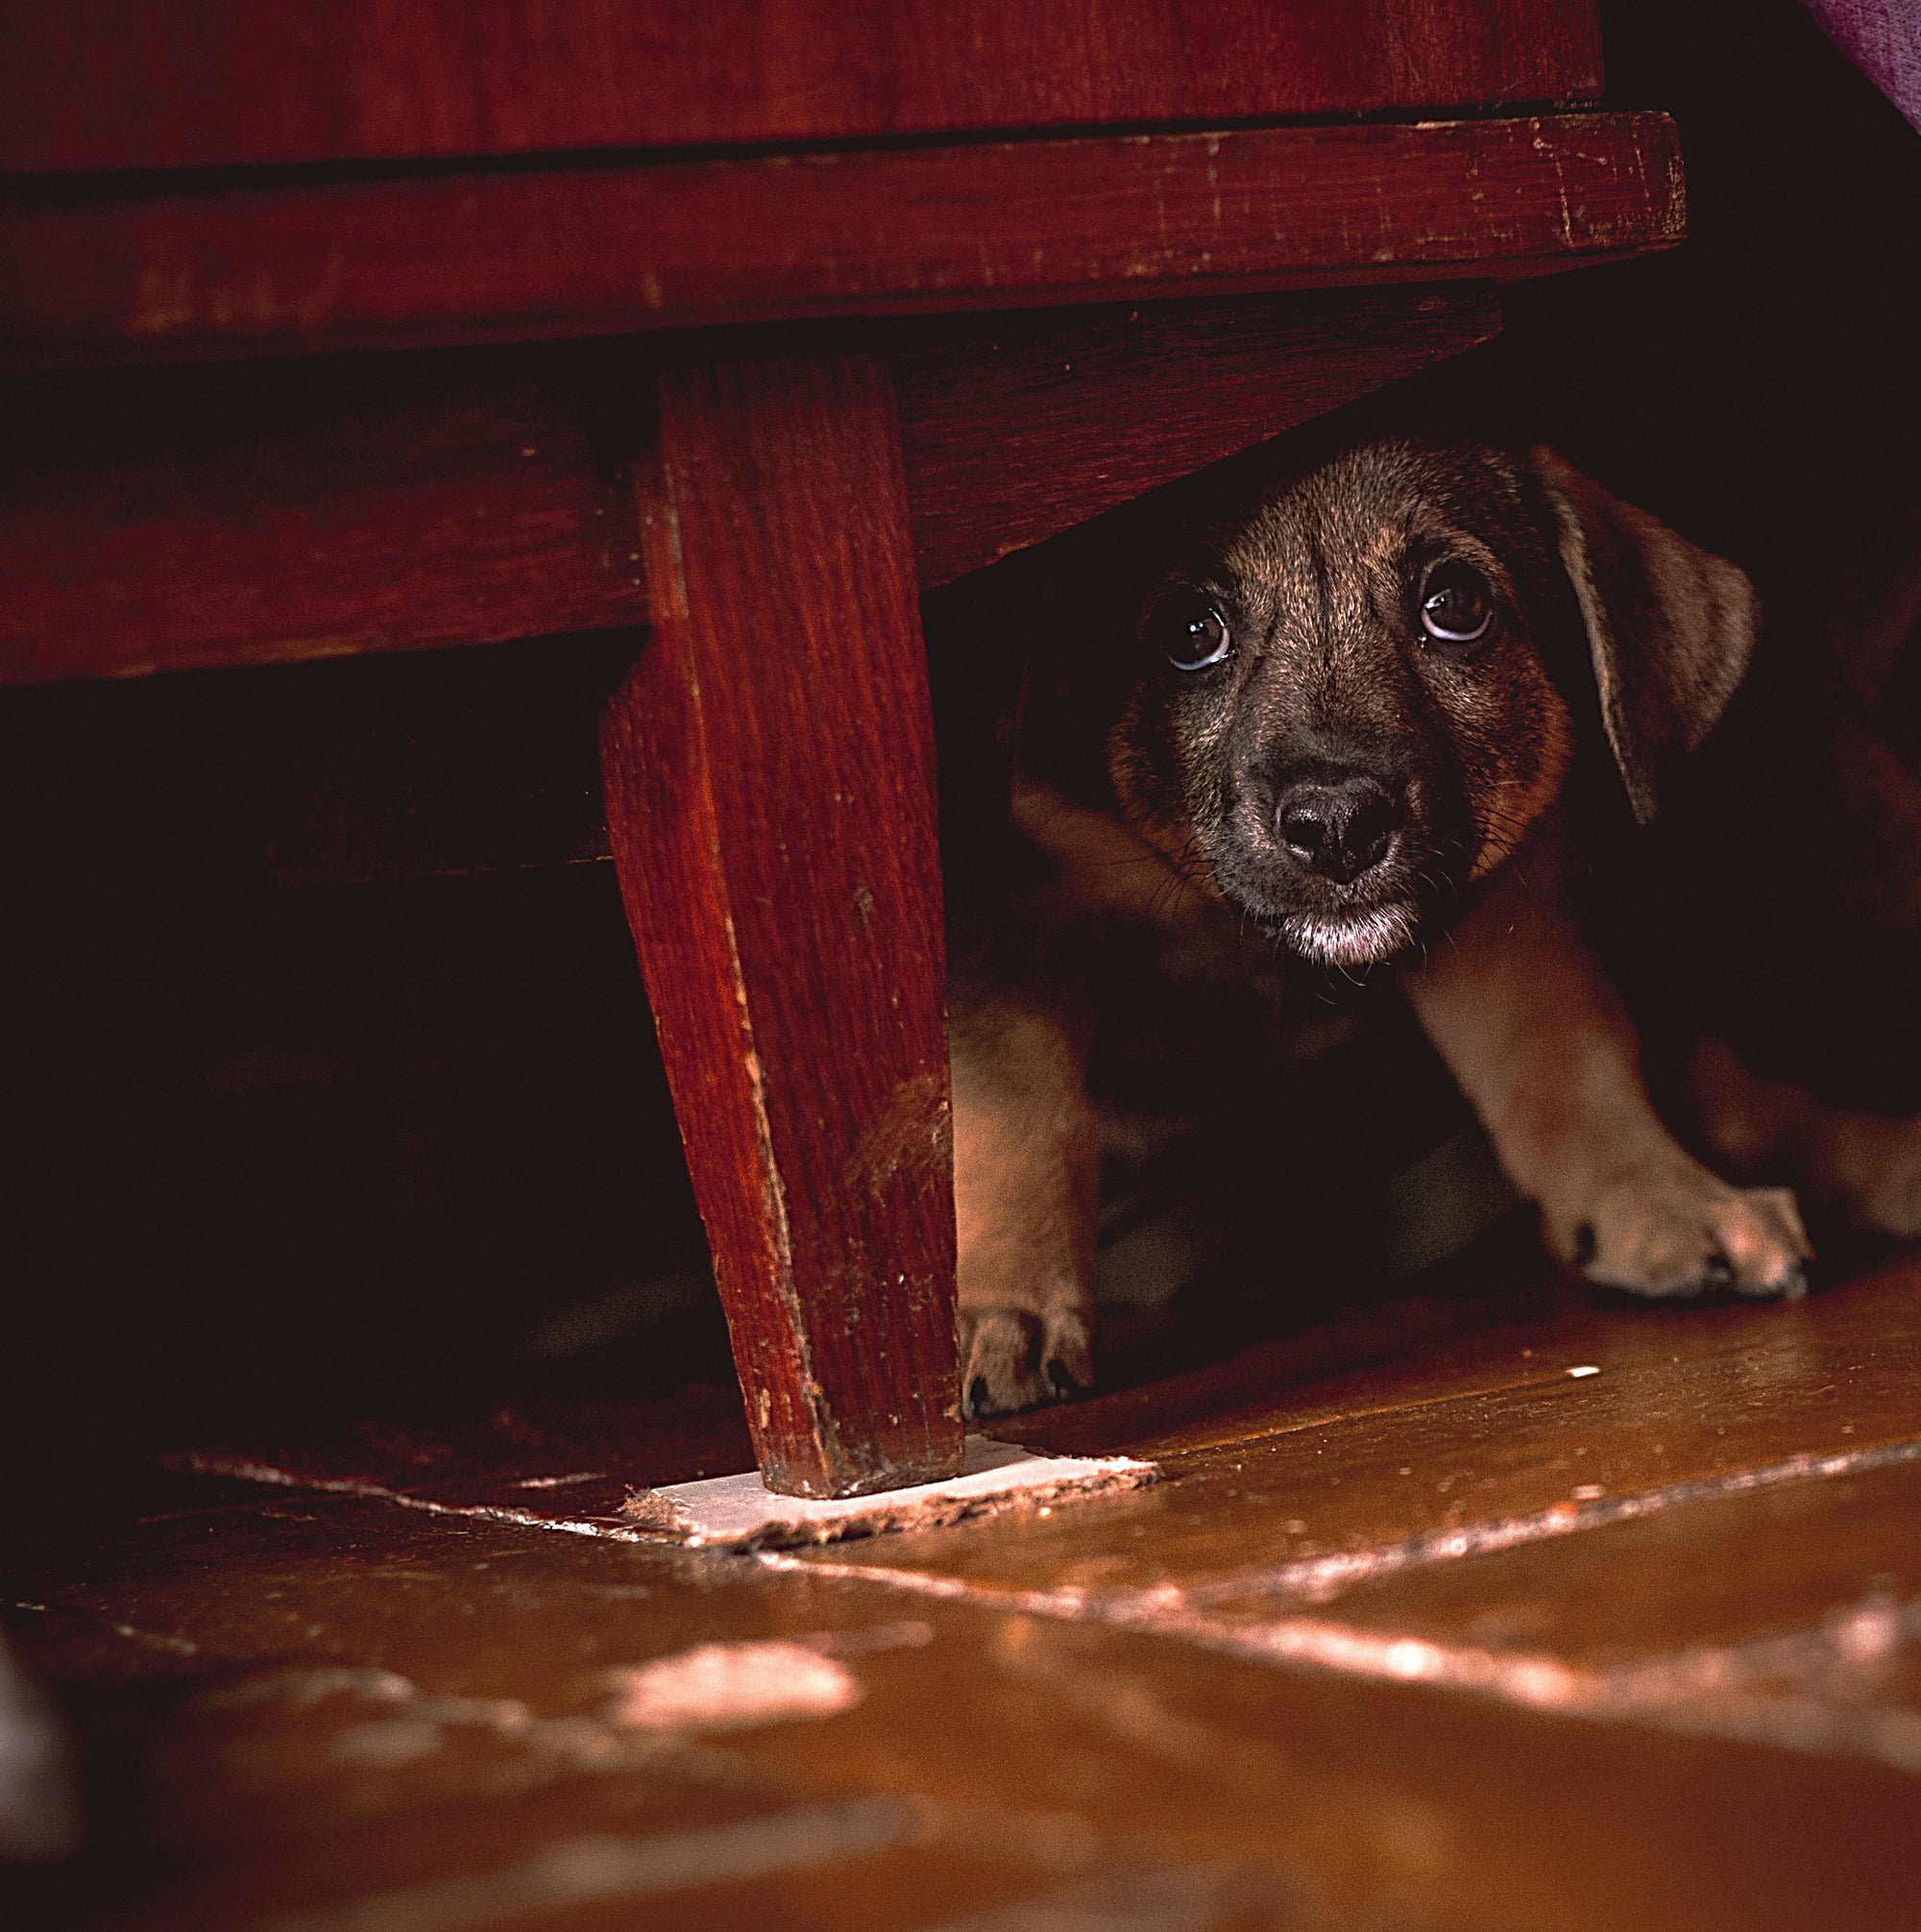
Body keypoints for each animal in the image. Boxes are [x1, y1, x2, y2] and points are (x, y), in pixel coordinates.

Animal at [953, 442, 1822, 1422]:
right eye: (1190, 632)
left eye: (1457, 606)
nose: (1338, 826)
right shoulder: (1010, 911)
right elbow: (1019, 1118)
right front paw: (1010, 1310)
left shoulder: (1500, 909)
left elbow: (1565, 1060)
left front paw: (1663, 1198)